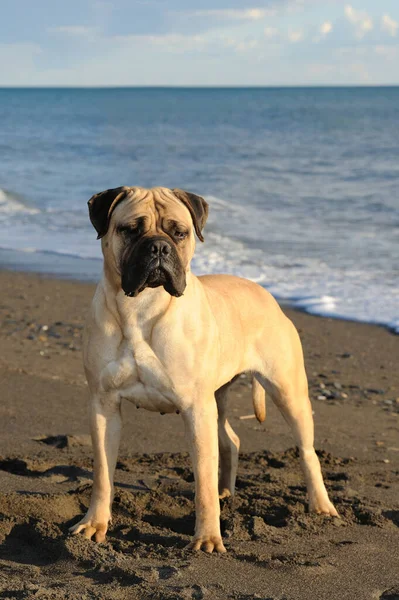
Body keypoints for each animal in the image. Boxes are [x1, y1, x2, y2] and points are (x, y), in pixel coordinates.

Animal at [70, 186, 340, 552]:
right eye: (130, 229)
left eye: (179, 232)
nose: (158, 247)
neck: (141, 307)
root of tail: (266, 294)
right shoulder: (103, 404)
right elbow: (102, 474)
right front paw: (94, 523)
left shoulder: (196, 408)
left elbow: (203, 484)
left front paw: (208, 537)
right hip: (219, 398)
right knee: (231, 440)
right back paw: (227, 490)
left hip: (288, 393)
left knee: (307, 451)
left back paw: (321, 505)